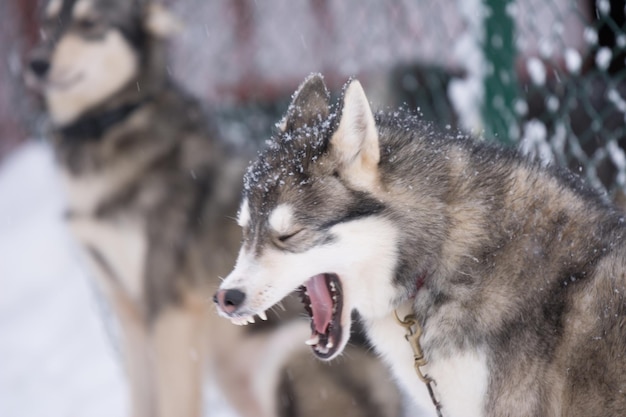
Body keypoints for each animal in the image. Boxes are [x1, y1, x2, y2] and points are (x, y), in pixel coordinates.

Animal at [25, 3, 400, 416]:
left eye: (89, 22)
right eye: (48, 21)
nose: (35, 64)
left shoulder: (170, 308)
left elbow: (171, 402)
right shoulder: (130, 315)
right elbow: (141, 399)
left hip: (285, 359)